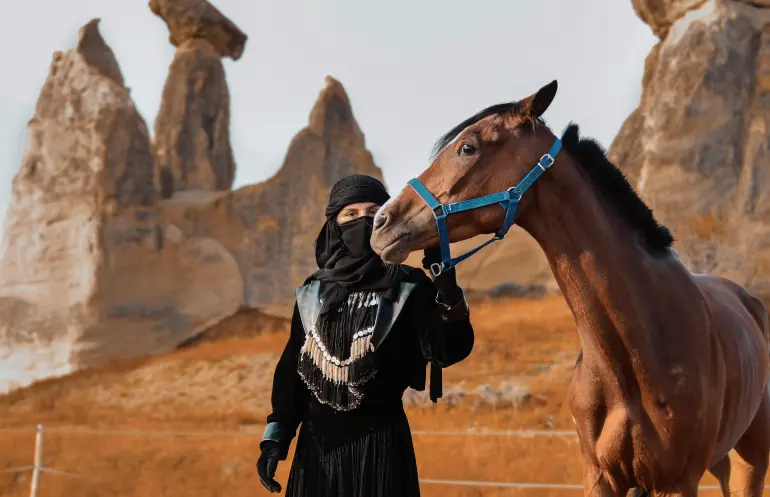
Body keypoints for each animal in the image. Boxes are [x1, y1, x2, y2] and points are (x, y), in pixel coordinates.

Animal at [369, 80, 770, 497]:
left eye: (468, 147)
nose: (382, 223)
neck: (634, 359)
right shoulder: (598, 477)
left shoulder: (676, 482)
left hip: (750, 459)